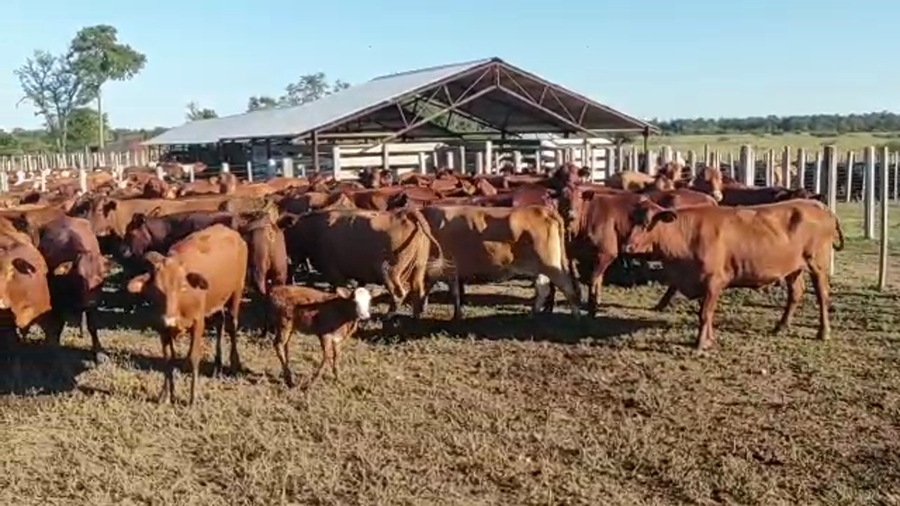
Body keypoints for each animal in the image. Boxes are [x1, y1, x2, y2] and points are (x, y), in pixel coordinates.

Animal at [37, 216, 110, 359]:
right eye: (80, 275)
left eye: (102, 275)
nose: (91, 302)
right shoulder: (55, 299)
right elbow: (56, 325)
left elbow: (93, 325)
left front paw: (99, 352)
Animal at [126, 224, 248, 405]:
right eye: (156, 289)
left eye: (183, 287)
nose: (169, 320)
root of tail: (232, 232)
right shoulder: (162, 329)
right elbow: (168, 359)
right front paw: (165, 394)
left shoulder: (198, 324)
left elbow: (193, 357)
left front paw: (193, 397)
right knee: (220, 322)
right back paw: (218, 362)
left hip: (237, 291)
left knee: (232, 324)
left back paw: (234, 362)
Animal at [418, 205, 581, 320]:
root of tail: (543, 210)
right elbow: (453, 291)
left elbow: (430, 288)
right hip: (542, 267)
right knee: (543, 288)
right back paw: (532, 314)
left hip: (550, 264)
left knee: (567, 286)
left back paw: (577, 316)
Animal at [622, 198, 844, 350]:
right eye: (632, 220)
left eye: (647, 223)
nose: (628, 246)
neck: (686, 234)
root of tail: (818, 205)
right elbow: (708, 313)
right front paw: (709, 338)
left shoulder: (714, 280)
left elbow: (704, 313)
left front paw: (701, 343)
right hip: (793, 268)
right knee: (796, 292)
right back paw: (781, 326)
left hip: (818, 265)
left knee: (822, 295)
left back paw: (823, 332)